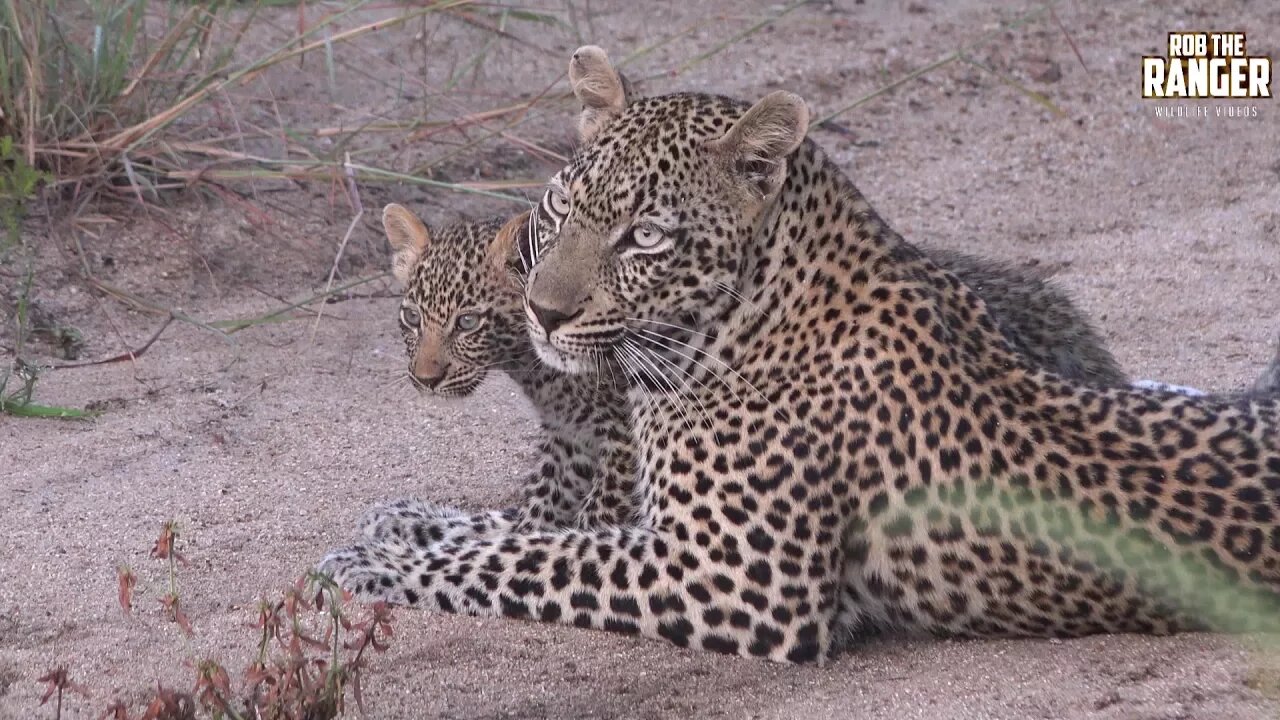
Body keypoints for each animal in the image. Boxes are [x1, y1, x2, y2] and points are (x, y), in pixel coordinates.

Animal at [314, 46, 1274, 661]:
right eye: (560, 209)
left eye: (644, 237)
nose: (543, 313)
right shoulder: (666, 528)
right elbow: (539, 527)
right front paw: (407, 519)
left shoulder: (732, 578)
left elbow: (539, 556)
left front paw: (378, 562)